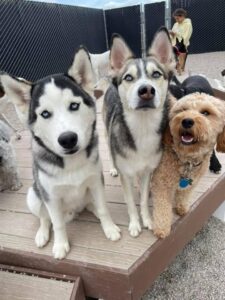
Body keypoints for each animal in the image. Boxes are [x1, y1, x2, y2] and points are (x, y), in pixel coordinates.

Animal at [0, 45, 120, 258]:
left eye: (74, 105)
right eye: (45, 114)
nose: (68, 139)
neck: (71, 164)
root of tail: (73, 211)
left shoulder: (96, 182)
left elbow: (104, 208)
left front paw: (109, 228)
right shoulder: (51, 197)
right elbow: (57, 224)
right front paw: (60, 245)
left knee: (93, 206)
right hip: (34, 196)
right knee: (44, 218)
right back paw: (42, 234)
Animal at [103, 27, 175, 237]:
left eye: (156, 74)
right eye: (128, 77)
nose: (146, 90)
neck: (142, 128)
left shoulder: (148, 171)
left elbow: (142, 200)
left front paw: (148, 220)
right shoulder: (125, 174)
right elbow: (130, 204)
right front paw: (135, 224)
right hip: (106, 130)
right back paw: (112, 168)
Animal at [150, 92, 225, 238]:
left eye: (206, 112)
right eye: (183, 110)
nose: (187, 121)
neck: (187, 160)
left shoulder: (192, 183)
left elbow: (184, 195)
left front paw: (182, 208)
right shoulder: (162, 185)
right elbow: (163, 207)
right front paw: (162, 228)